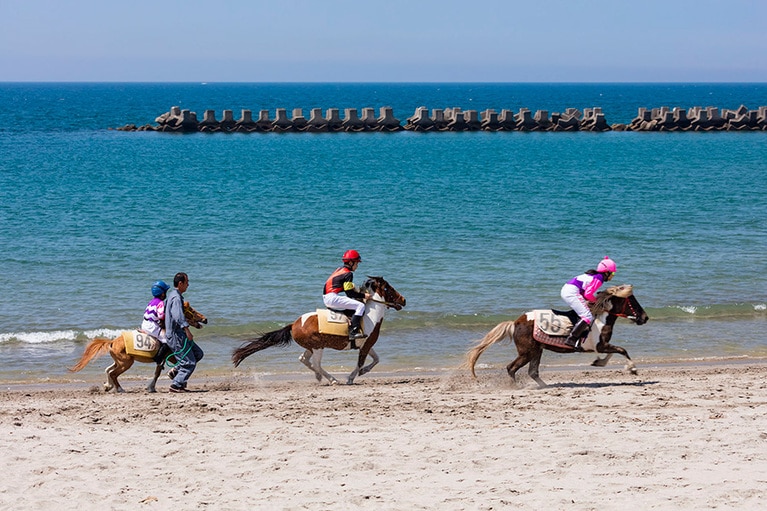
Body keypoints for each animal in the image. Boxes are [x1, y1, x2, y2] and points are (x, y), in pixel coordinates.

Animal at [69, 302, 208, 393]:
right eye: (191, 310)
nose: (205, 319)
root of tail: (113, 341)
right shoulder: (171, 356)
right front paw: (169, 378)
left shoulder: (164, 359)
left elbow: (158, 372)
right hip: (126, 363)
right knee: (113, 373)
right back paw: (119, 389)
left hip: (120, 362)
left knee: (108, 370)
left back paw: (108, 386)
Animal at [232, 276, 406, 385]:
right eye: (388, 288)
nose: (404, 300)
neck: (370, 315)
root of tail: (294, 324)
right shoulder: (366, 345)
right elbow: (360, 363)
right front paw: (351, 378)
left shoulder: (366, 345)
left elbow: (376, 359)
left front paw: (363, 371)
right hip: (317, 347)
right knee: (315, 363)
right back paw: (332, 379)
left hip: (311, 347)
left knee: (304, 359)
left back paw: (319, 376)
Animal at [466, 284, 649, 388]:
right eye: (632, 301)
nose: (645, 317)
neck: (600, 317)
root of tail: (515, 323)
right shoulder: (601, 345)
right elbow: (622, 350)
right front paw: (632, 369)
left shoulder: (602, 345)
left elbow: (614, 352)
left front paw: (598, 362)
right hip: (527, 353)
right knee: (512, 368)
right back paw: (515, 387)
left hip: (536, 351)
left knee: (532, 372)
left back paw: (546, 386)